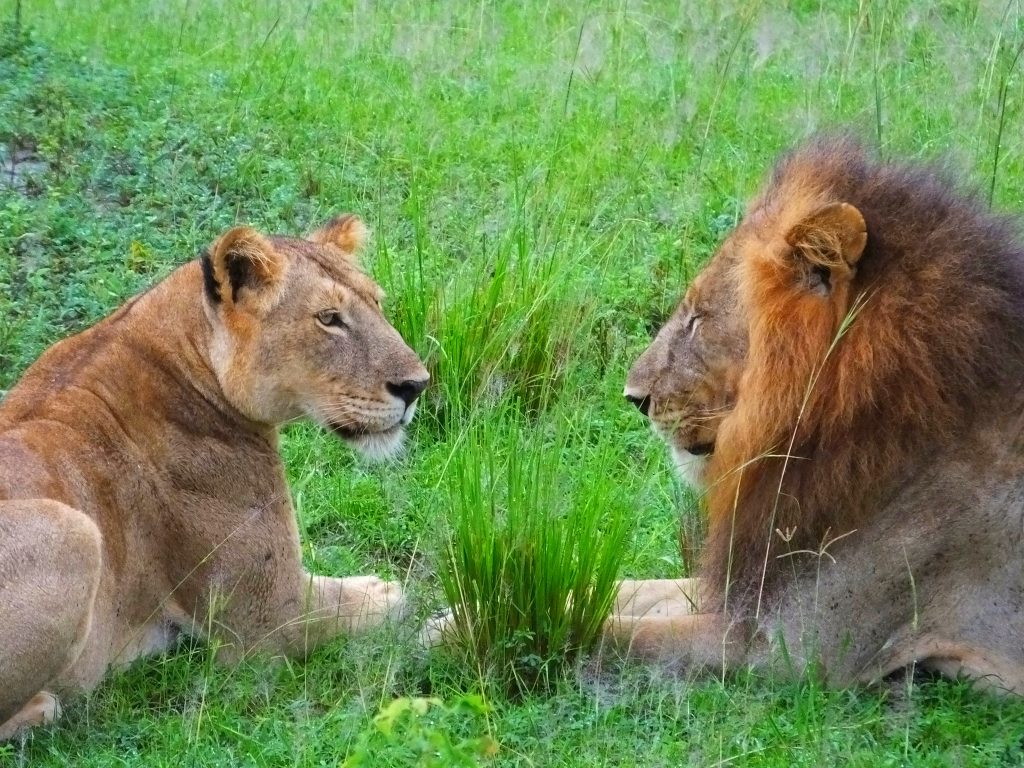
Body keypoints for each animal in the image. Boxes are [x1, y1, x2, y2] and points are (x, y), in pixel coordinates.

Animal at [0, 214, 429, 739]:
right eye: (328, 318)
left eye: (377, 304)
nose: (416, 386)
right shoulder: (269, 620)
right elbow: (383, 603)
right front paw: (383, 589)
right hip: (72, 530)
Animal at [612, 136, 1024, 692]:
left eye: (698, 318)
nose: (634, 397)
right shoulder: (756, 584)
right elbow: (624, 591)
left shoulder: (793, 649)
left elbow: (613, 634)